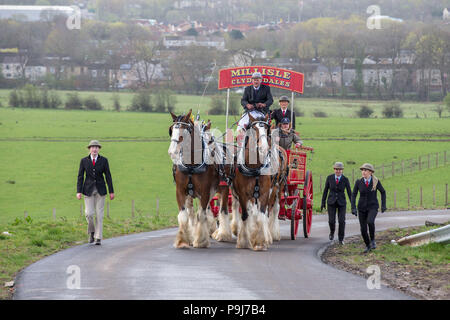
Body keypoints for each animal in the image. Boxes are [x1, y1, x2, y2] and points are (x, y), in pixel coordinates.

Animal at [168, 110, 219, 248]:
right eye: (171, 130)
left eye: (184, 131)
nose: (172, 152)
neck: (191, 165)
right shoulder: (180, 191)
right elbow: (184, 215)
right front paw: (182, 240)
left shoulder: (205, 192)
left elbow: (201, 214)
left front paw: (200, 240)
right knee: (191, 211)